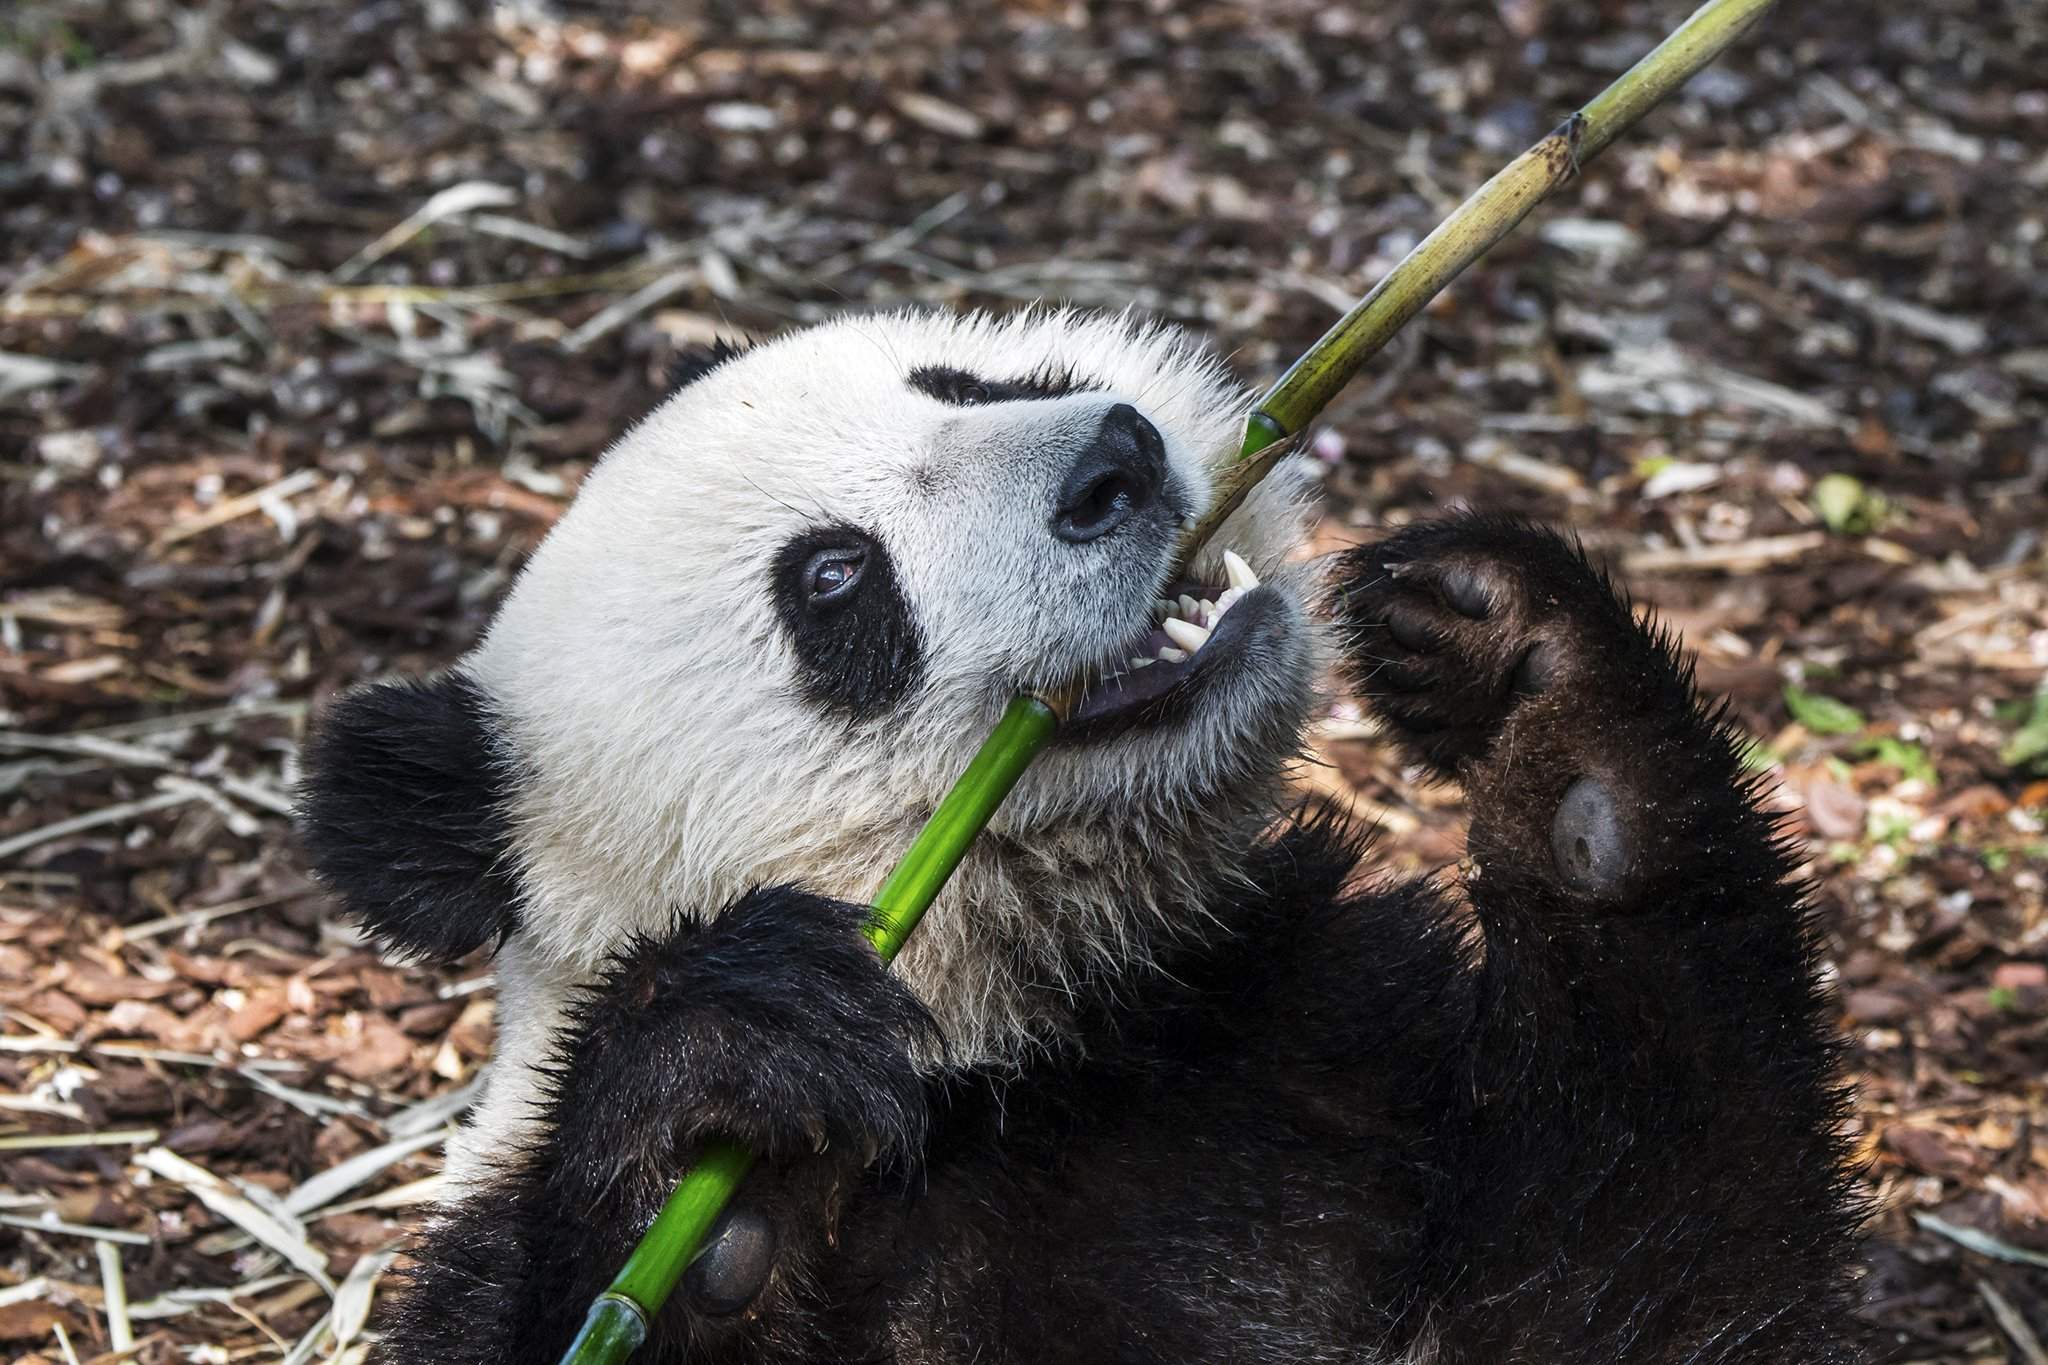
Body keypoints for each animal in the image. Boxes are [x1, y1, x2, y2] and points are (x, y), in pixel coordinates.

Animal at [292, 313, 1875, 1365]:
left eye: (975, 382)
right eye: (831, 579)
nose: (1112, 460)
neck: (1027, 1045)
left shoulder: (1305, 1048)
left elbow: (1653, 1273)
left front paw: (1528, 683)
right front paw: (718, 1118)